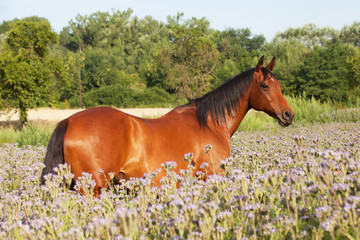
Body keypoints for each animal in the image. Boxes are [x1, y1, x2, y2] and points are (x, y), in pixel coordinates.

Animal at [40, 56, 294, 197]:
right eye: (264, 86)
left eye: (279, 85)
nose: (288, 115)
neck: (210, 123)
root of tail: (69, 121)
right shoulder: (210, 177)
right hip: (93, 188)